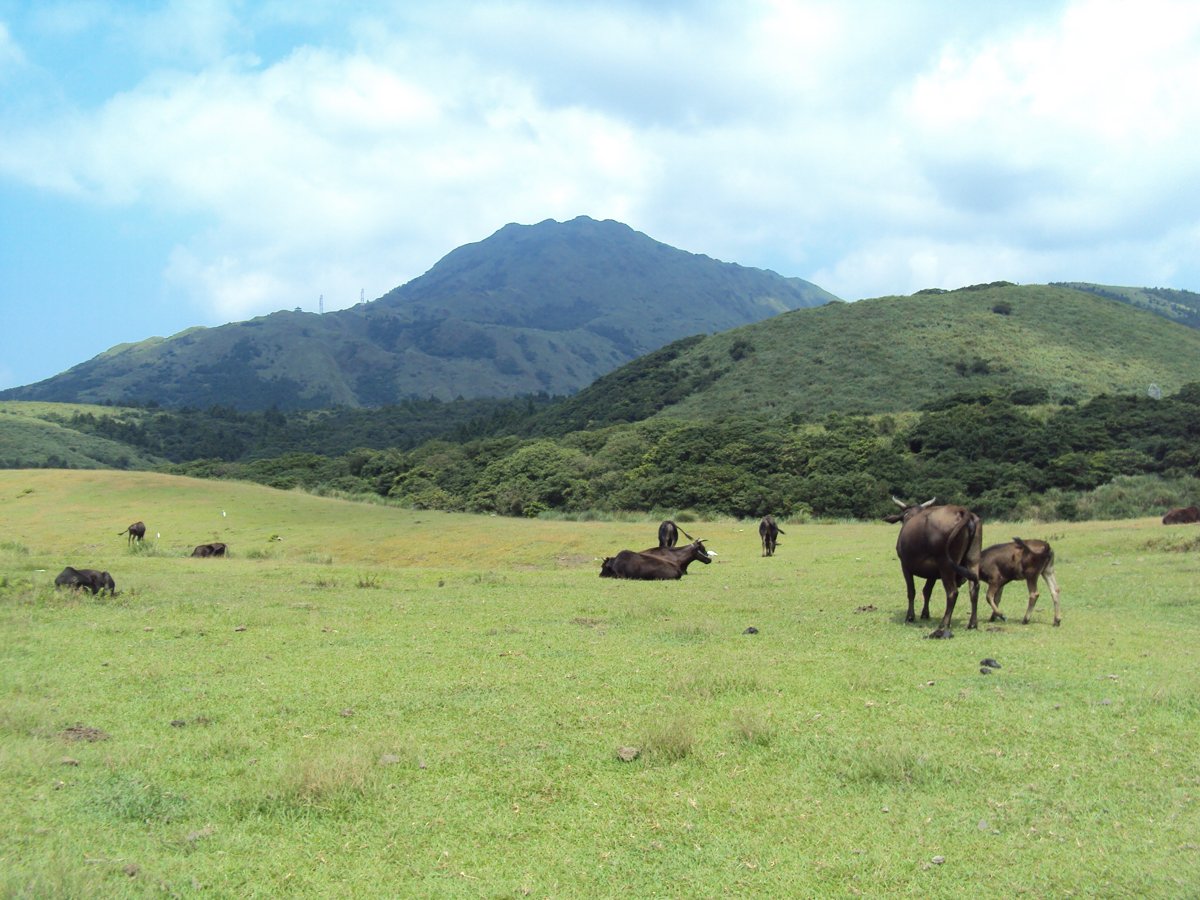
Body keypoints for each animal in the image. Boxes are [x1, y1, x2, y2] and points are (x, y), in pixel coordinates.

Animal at [883, 496, 984, 638]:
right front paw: (925, 614)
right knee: (974, 589)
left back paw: (943, 624)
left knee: (952, 593)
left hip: (946, 564)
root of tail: (962, 511)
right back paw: (973, 623)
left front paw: (910, 616)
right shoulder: (932, 573)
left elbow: (911, 591)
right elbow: (927, 591)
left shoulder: (905, 566)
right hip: (973, 560)